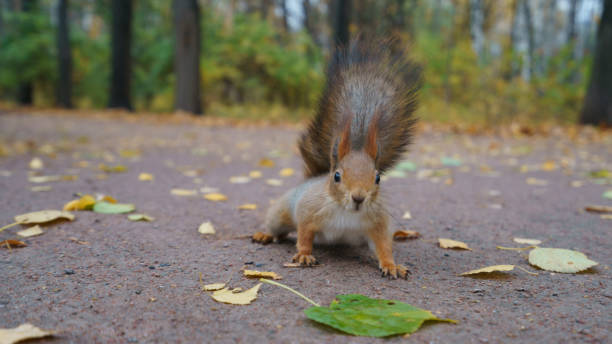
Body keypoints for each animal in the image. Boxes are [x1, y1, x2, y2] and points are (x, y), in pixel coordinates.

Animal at [253, 37, 420, 280]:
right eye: (337, 176)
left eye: (378, 178)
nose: (358, 198)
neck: (346, 211)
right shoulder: (309, 211)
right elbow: (304, 234)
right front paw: (304, 254)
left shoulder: (378, 224)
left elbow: (383, 247)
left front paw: (392, 265)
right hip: (281, 213)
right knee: (276, 227)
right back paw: (265, 235)